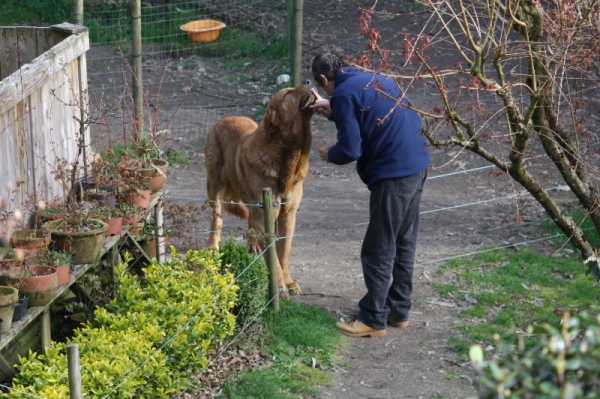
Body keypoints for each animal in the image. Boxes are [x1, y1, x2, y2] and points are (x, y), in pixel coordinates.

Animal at [206, 83, 316, 296]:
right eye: (288, 93)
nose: (308, 80)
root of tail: (225, 118)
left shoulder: (288, 215)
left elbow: (283, 253)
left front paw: (288, 283)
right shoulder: (268, 215)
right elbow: (274, 258)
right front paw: (279, 287)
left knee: (249, 216)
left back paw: (253, 243)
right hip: (214, 187)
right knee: (217, 220)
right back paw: (213, 247)